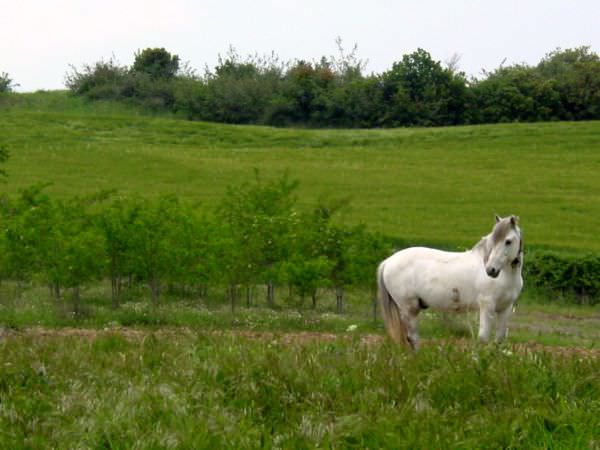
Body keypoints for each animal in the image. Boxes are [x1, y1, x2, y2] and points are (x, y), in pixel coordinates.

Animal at [378, 215, 524, 352]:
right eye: (493, 240)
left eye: (508, 241)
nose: (490, 270)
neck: (506, 275)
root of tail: (388, 261)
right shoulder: (487, 306)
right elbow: (483, 338)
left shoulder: (506, 308)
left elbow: (499, 339)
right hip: (410, 309)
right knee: (412, 337)